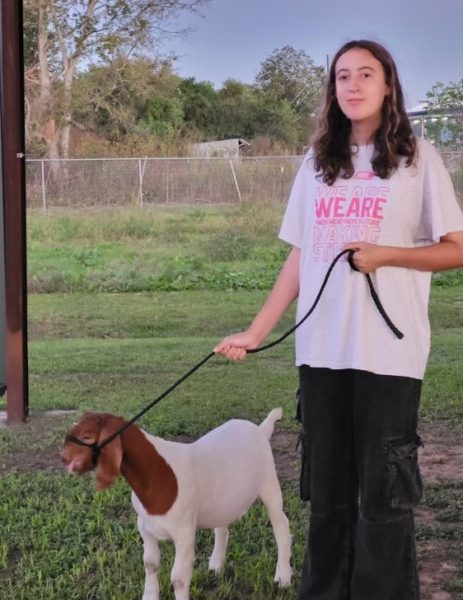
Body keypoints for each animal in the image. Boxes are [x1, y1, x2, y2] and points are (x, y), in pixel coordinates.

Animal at [60, 408, 294, 600]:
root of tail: (260, 430)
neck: (156, 475)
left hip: (269, 484)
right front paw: (149, 596)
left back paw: (283, 577)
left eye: (87, 436)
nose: (62, 457)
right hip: (223, 499)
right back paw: (216, 565)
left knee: (281, 526)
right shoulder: (145, 528)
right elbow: (150, 564)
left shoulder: (184, 533)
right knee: (222, 528)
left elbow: (178, 578)